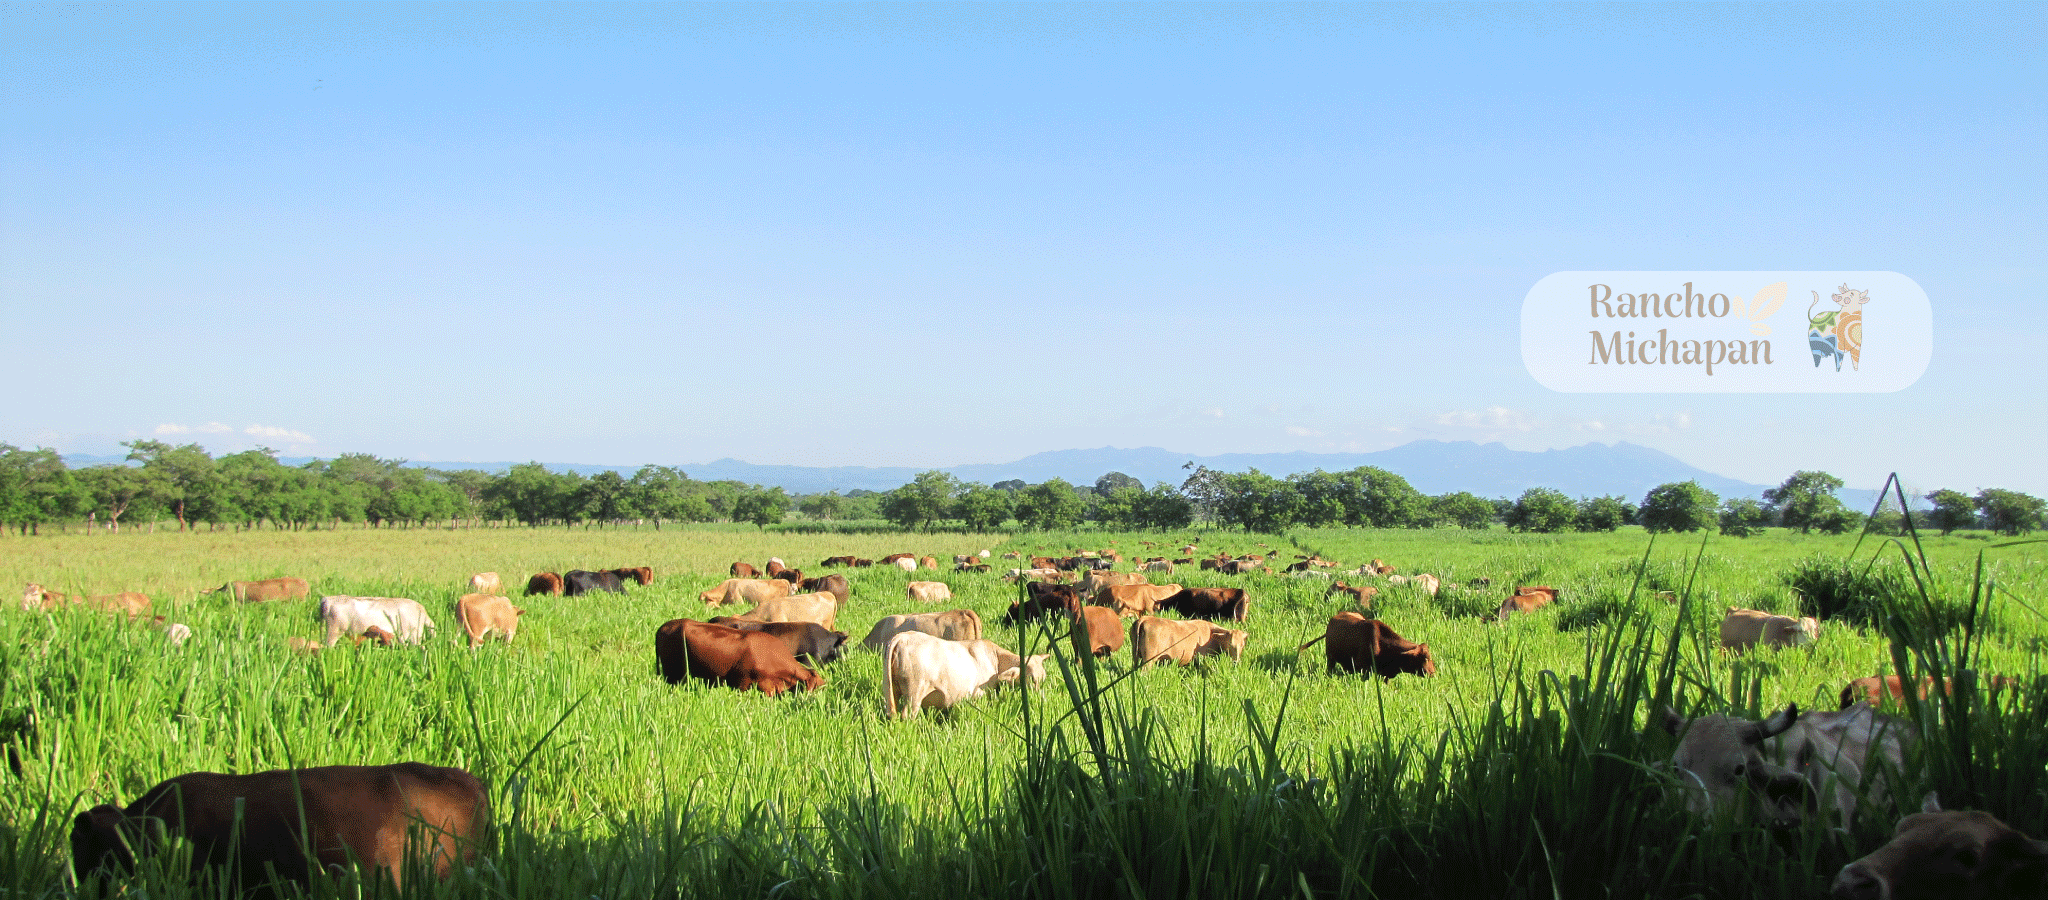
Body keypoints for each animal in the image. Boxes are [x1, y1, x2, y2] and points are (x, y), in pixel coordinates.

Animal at [881, 632, 1047, 719]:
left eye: (1043, 679)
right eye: (1031, 678)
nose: (1040, 698)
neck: (995, 658)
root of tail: (902, 637)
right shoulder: (978, 694)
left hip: (890, 689)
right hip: (914, 692)